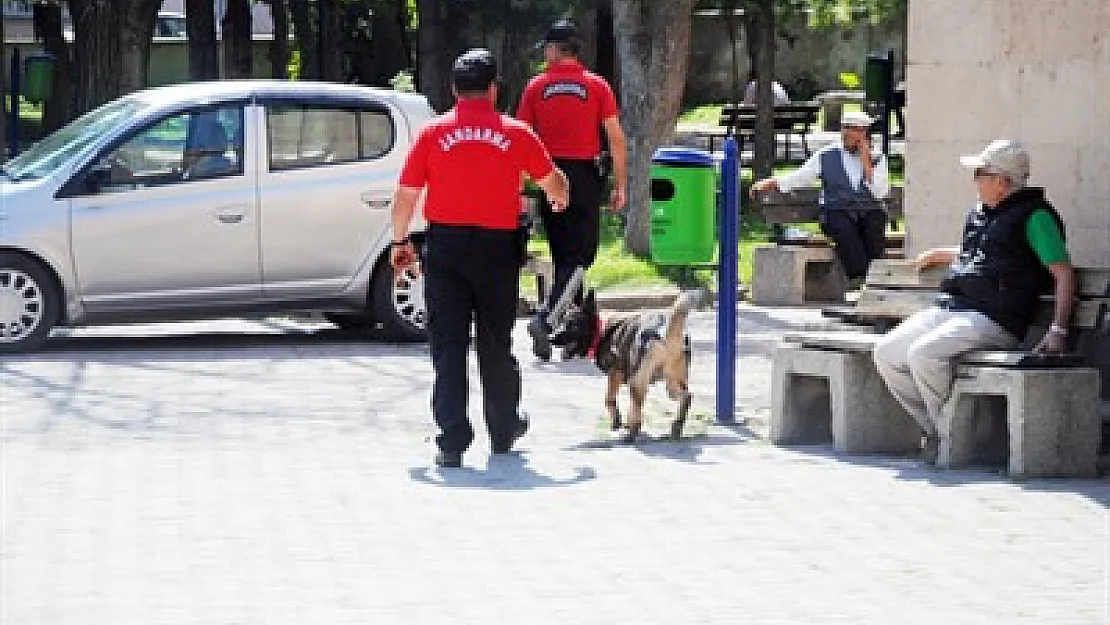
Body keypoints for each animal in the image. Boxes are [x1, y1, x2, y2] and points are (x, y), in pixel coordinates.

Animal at [555, 290, 701, 441]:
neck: (601, 329)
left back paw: (631, 434)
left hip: (636, 382)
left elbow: (609, 399)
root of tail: (666, 331)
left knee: (638, 408)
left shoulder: (615, 374)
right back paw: (676, 428)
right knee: (686, 396)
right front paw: (625, 422)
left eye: (574, 326)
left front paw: (617, 423)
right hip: (670, 385)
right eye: (561, 323)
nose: (551, 337)